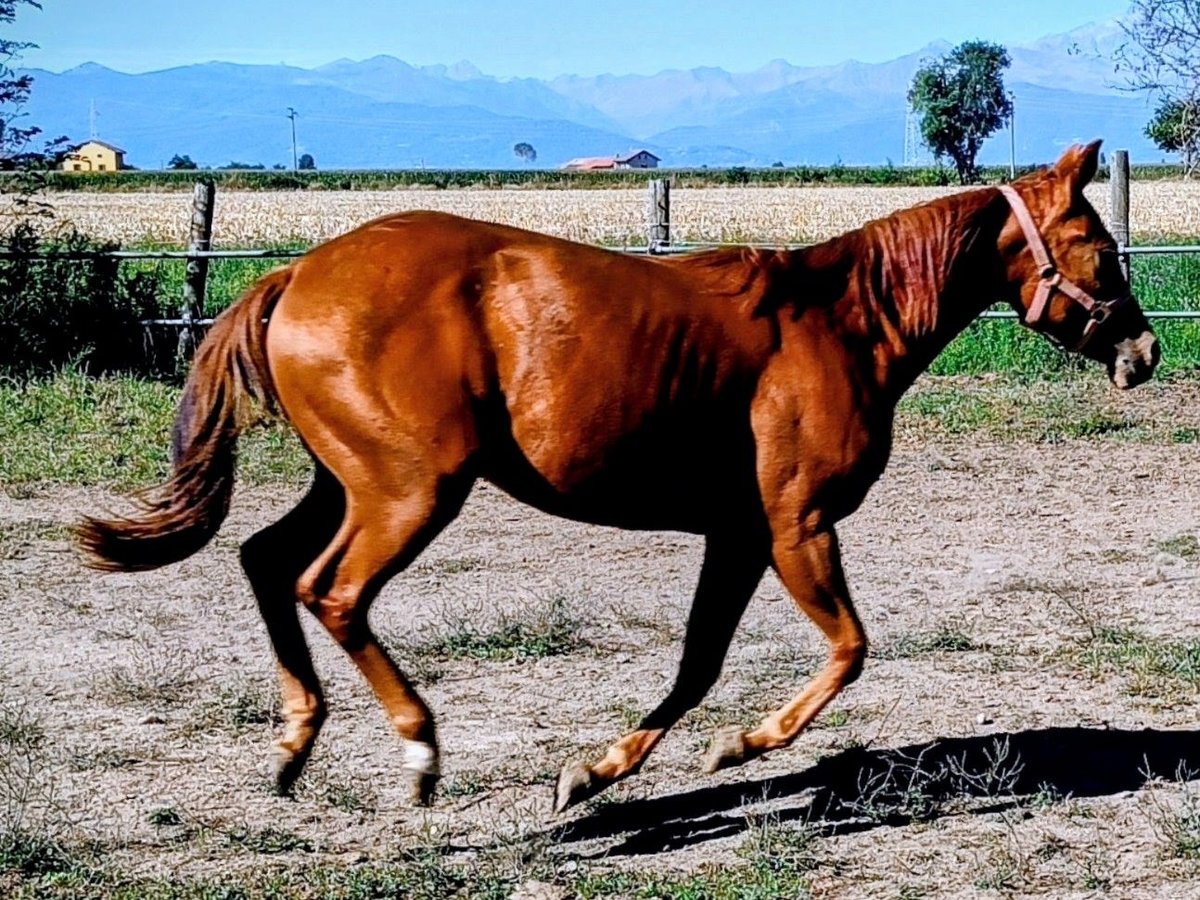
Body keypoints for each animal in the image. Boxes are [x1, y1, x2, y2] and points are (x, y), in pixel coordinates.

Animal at [77, 141, 1158, 813]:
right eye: (1101, 247)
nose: (1144, 351)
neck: (837, 323)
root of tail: (293, 274)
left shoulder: (740, 534)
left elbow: (697, 665)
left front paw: (592, 774)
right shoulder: (798, 525)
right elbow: (848, 651)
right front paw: (740, 746)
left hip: (345, 483)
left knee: (266, 562)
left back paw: (296, 745)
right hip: (410, 493)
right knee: (329, 591)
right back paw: (418, 752)